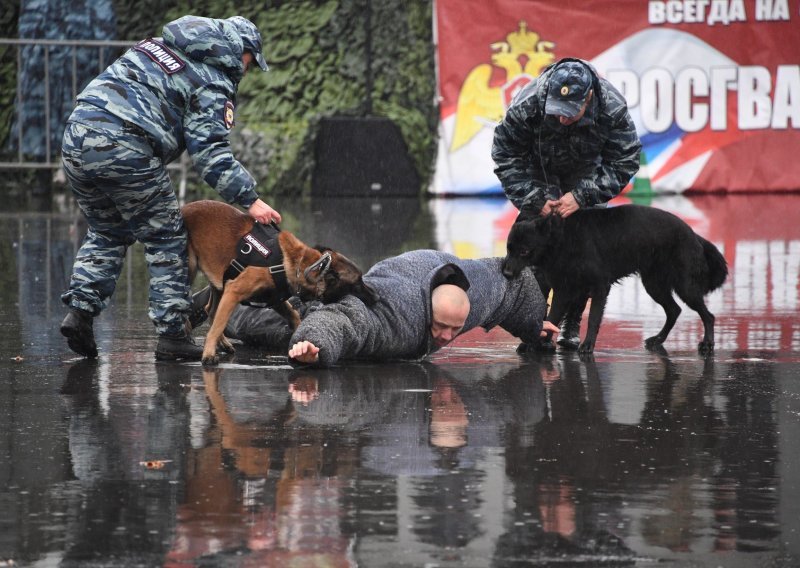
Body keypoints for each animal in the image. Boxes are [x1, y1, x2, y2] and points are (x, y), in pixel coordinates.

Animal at [183, 202, 380, 366]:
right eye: (357, 282)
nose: (377, 297)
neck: (298, 264)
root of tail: (184, 208)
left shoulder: (274, 299)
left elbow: (294, 315)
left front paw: (304, 345)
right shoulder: (234, 291)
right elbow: (218, 325)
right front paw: (208, 354)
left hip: (218, 284)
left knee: (211, 311)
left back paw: (221, 342)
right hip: (191, 269)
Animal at [504, 204, 728, 356]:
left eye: (524, 251)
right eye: (509, 249)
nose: (505, 273)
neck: (562, 239)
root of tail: (693, 233)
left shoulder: (599, 287)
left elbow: (593, 319)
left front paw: (588, 345)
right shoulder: (562, 291)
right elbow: (551, 319)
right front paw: (536, 344)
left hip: (685, 287)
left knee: (708, 316)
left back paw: (708, 343)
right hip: (654, 286)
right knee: (674, 310)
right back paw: (658, 339)